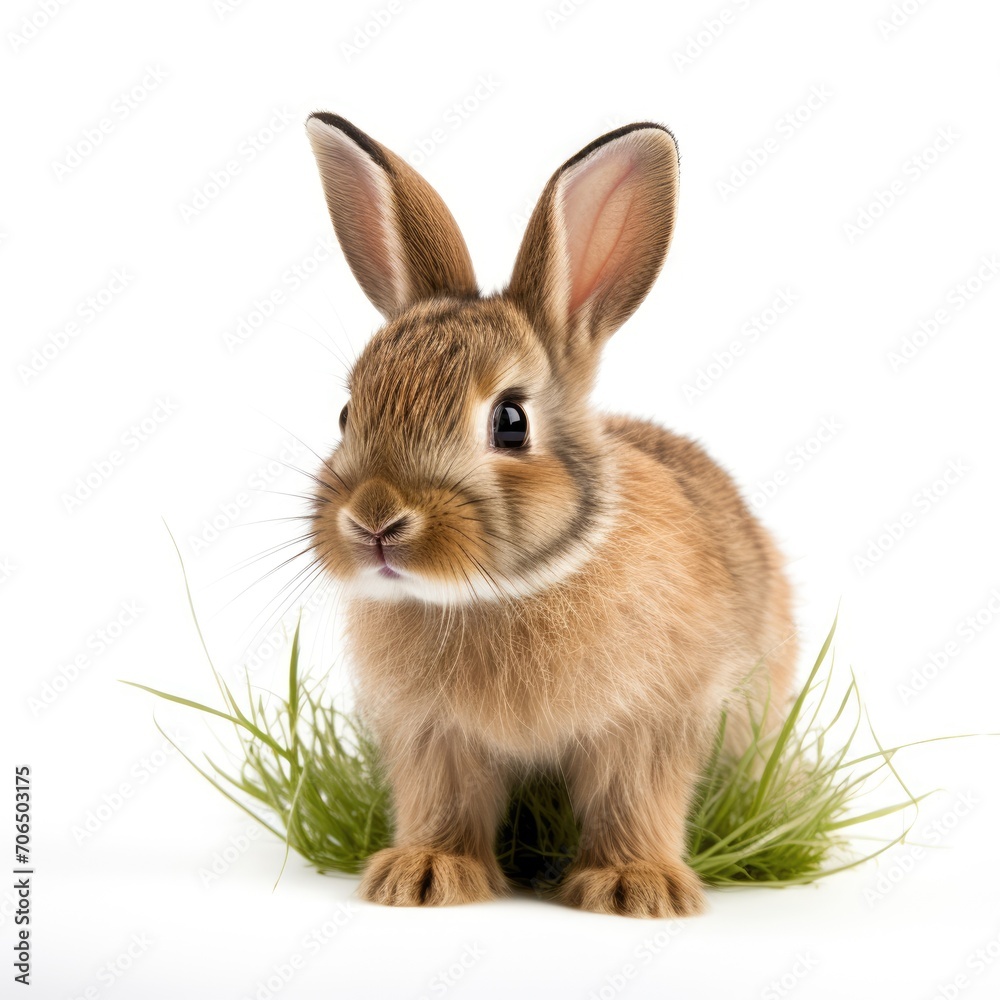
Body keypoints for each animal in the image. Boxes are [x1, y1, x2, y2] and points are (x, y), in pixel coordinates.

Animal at [303, 112, 798, 918]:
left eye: (510, 423)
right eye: (348, 414)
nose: (375, 520)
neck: (496, 594)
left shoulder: (651, 722)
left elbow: (636, 802)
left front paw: (637, 888)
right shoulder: (432, 735)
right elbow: (442, 802)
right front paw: (422, 874)